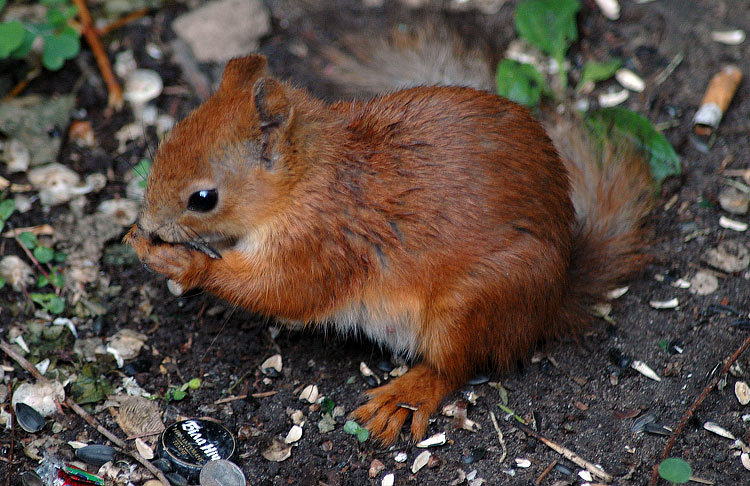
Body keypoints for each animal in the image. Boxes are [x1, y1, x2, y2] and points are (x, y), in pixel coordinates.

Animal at [125, 25, 654, 445]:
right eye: (169, 139)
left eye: (203, 198)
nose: (149, 222)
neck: (307, 181)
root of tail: (553, 301)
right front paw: (137, 236)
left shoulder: (322, 244)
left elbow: (280, 291)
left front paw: (180, 262)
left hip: (472, 305)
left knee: (453, 368)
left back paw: (404, 395)